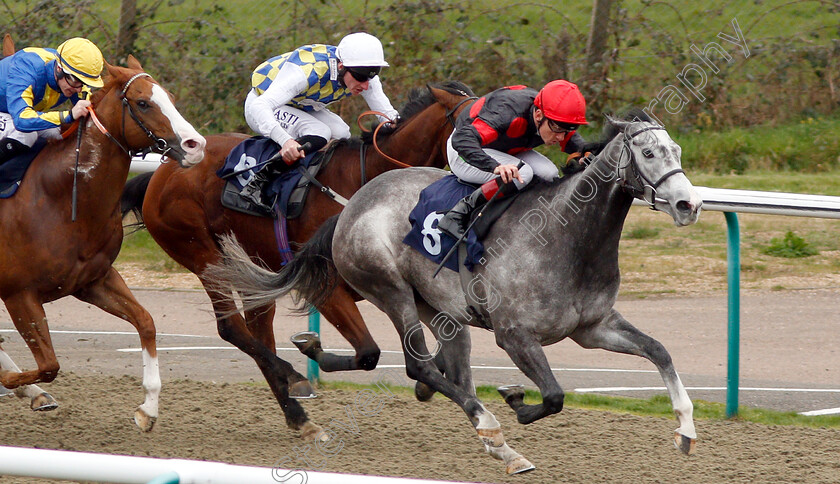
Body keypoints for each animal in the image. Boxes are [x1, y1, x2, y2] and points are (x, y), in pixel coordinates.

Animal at [0, 54, 205, 432]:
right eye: (143, 102)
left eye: (169, 96)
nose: (196, 146)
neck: (59, 199)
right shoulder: (20, 294)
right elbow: (49, 365)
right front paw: (12, 383)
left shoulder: (94, 280)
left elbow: (146, 321)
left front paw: (148, 408)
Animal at [122, 80, 480, 438]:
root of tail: (162, 172)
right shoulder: (325, 289)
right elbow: (369, 353)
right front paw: (311, 349)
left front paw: (429, 383)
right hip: (205, 258)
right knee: (231, 328)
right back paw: (295, 380)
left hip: (251, 275)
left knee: (258, 335)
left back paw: (298, 415)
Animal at [205, 112, 704, 472]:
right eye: (649, 152)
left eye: (677, 149)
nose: (690, 204)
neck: (567, 237)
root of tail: (350, 208)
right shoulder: (514, 335)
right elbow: (554, 396)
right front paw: (515, 402)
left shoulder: (594, 326)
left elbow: (659, 351)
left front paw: (685, 428)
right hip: (391, 291)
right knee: (419, 366)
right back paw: (489, 426)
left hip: (441, 310)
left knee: (449, 370)